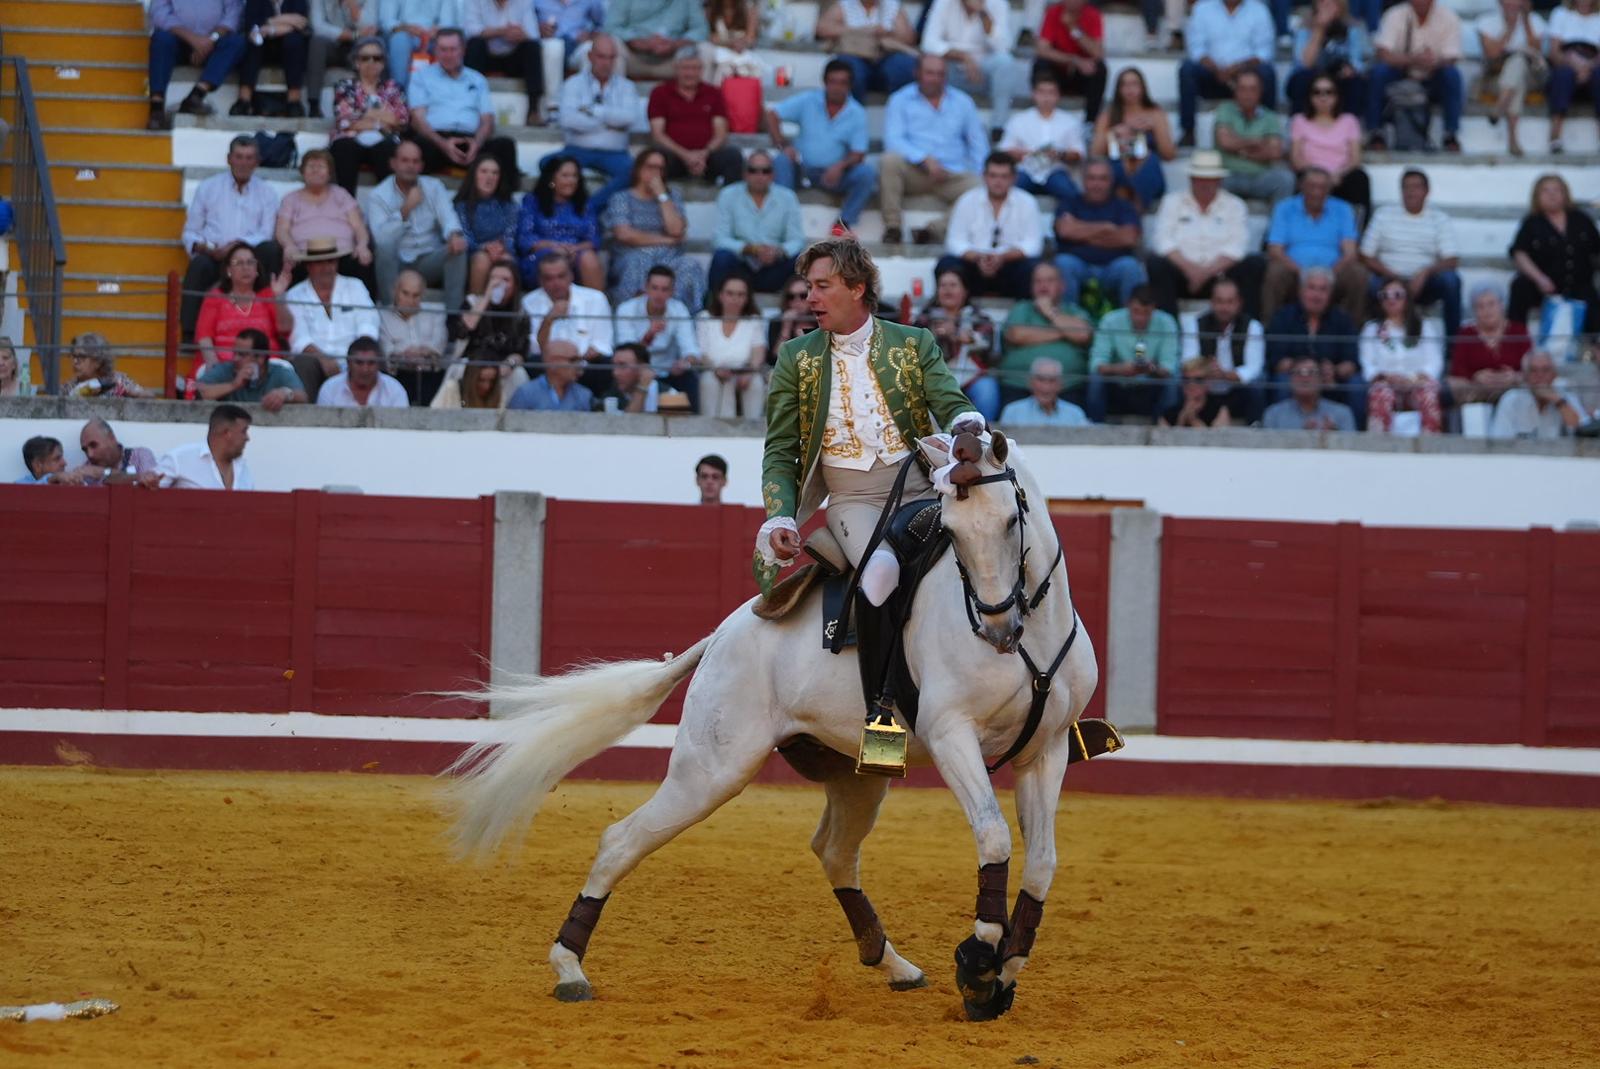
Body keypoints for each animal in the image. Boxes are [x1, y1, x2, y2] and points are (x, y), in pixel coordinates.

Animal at [451, 428, 1100, 1017]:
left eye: (1012, 521)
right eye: (954, 534)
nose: (996, 629)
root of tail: (725, 632)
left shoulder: (1046, 751)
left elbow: (1043, 862)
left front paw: (1004, 974)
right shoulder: (950, 734)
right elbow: (994, 835)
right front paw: (978, 963)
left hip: (857, 775)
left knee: (834, 850)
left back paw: (894, 964)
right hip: (711, 769)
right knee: (623, 839)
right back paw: (569, 969)